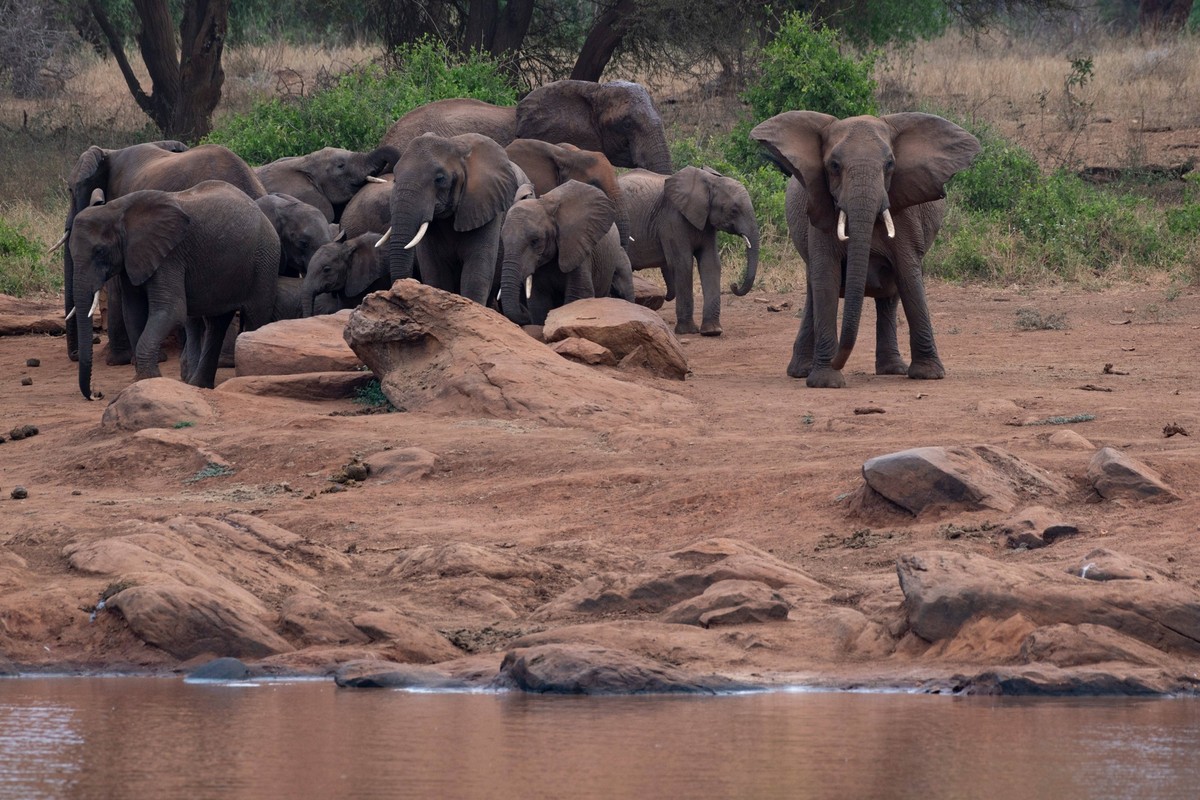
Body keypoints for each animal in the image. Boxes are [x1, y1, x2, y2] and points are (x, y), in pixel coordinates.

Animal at [57, 141, 266, 364]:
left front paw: (121, 360)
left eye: (70, 189)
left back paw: (222, 361)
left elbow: (118, 286)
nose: (76, 355)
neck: (108, 153)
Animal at [67, 180, 280, 399]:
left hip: (265, 261)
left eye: (100, 251)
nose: (97, 394)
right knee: (217, 323)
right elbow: (134, 313)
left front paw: (150, 381)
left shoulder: (170, 256)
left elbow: (172, 311)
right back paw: (199, 385)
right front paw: (143, 381)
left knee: (255, 317)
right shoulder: (131, 258)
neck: (116, 210)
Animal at [618, 166, 759, 336]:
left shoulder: (706, 222)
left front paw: (712, 331)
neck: (710, 182)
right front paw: (687, 331)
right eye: (734, 210)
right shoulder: (672, 218)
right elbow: (683, 263)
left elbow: (710, 263)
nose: (734, 285)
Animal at [751, 112, 980, 388]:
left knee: (890, 296)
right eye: (834, 166)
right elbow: (825, 277)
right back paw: (801, 372)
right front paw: (826, 382)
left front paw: (929, 375)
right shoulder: (821, 212)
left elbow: (909, 276)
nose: (838, 361)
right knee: (813, 289)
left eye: (890, 164)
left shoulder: (904, 212)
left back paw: (892, 370)